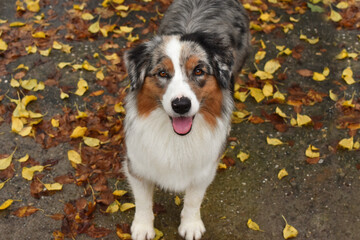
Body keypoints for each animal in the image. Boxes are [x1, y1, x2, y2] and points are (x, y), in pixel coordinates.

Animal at [124, 0, 250, 239]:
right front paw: (143, 227)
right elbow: (143, 200)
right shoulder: (138, 163)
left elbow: (193, 199)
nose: (181, 105)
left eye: (199, 71)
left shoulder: (204, 169)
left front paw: (190, 225)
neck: (176, 138)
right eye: (162, 73)